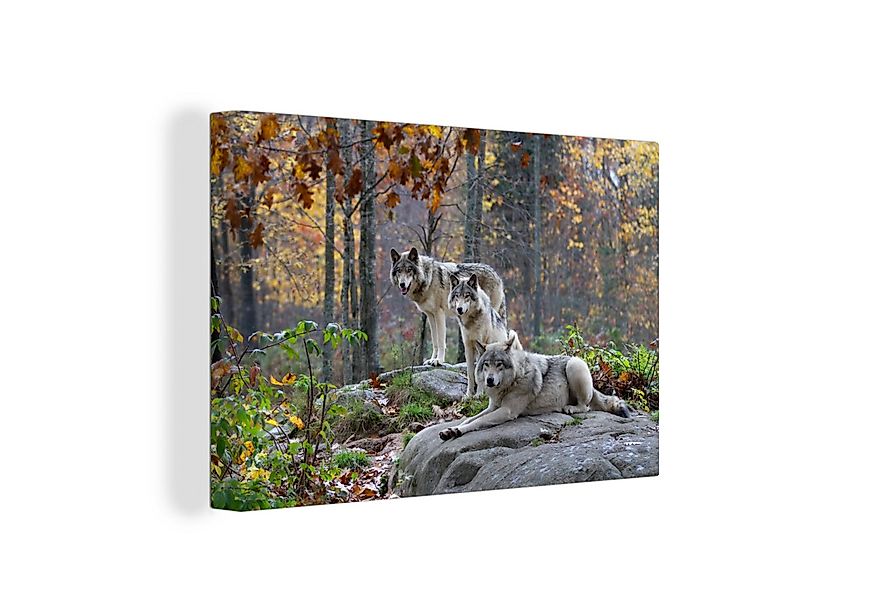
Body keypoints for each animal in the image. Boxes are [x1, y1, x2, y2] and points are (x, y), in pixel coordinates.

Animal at [439, 333, 631, 441]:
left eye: (499, 364)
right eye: (486, 365)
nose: (490, 380)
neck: (514, 380)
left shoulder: (507, 411)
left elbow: (477, 421)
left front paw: (458, 431)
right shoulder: (493, 407)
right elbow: (469, 419)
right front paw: (451, 429)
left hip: (574, 366)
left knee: (586, 407)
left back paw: (570, 408)